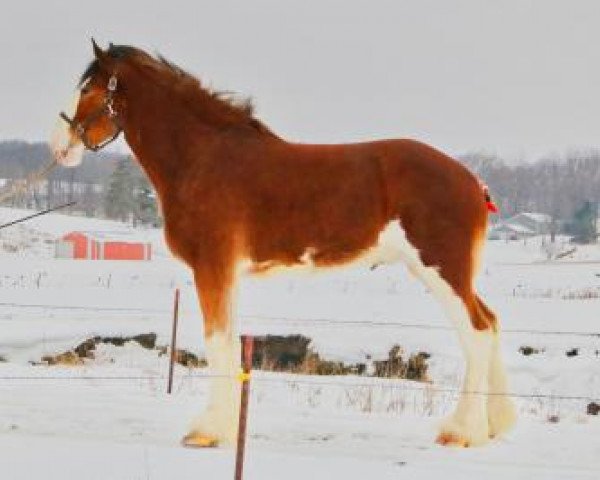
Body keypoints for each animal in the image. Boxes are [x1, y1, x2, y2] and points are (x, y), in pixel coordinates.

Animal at [51, 39, 516, 448]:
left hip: (441, 270)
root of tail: (472, 181)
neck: (203, 159)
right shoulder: (225, 272)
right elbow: (229, 341)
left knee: (476, 332)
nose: (59, 147)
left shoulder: (212, 267)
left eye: (88, 88)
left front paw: (207, 431)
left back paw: (462, 432)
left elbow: (217, 341)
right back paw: (496, 424)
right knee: (491, 323)